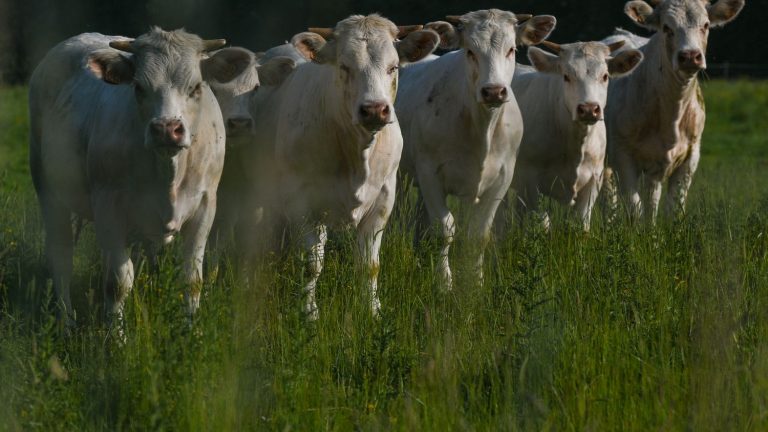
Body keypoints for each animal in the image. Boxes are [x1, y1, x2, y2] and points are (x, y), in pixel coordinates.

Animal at [29, 28, 252, 324]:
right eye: (138, 87)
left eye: (195, 87)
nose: (167, 129)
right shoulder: (108, 207)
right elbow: (117, 283)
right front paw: (115, 334)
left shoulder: (206, 205)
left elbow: (192, 280)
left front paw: (191, 329)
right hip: (48, 190)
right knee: (62, 258)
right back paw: (66, 322)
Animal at [246, 15, 438, 318]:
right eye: (345, 66)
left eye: (393, 67)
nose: (374, 109)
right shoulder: (302, 203)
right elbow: (311, 264)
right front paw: (309, 313)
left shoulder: (383, 199)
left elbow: (369, 265)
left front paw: (372, 311)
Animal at [392, 10, 556, 292]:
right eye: (469, 51)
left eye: (511, 49)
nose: (493, 91)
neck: (481, 129)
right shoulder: (430, 173)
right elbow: (444, 230)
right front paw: (444, 283)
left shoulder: (501, 178)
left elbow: (478, 235)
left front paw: (475, 283)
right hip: (402, 176)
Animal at [512, 40, 644, 231]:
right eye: (566, 76)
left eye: (605, 76)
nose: (589, 109)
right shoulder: (528, 180)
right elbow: (543, 221)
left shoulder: (594, 180)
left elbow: (582, 223)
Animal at [608, 0, 744, 221]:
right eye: (666, 28)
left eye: (706, 25)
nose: (690, 56)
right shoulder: (622, 156)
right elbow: (634, 208)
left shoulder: (690, 157)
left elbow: (674, 210)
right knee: (608, 199)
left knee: (652, 198)